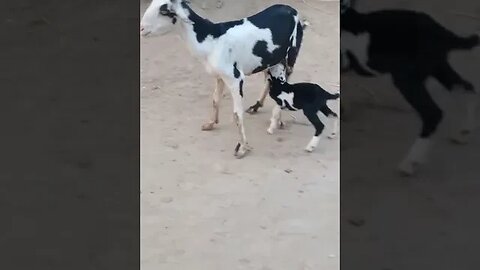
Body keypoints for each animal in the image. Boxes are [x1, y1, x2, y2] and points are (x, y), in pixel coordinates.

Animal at [141, 0, 306, 157]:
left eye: (164, 10)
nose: (141, 28)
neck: (212, 40)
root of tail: (291, 10)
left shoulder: (235, 78)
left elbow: (237, 115)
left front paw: (242, 148)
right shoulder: (219, 76)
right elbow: (215, 100)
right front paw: (210, 124)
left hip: (291, 54)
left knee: (284, 82)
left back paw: (276, 120)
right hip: (272, 60)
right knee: (269, 80)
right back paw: (258, 107)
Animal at [340, 0, 480, 175]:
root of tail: (441, 32)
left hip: (407, 79)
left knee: (433, 113)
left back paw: (410, 163)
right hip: (438, 67)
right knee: (466, 87)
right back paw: (463, 132)